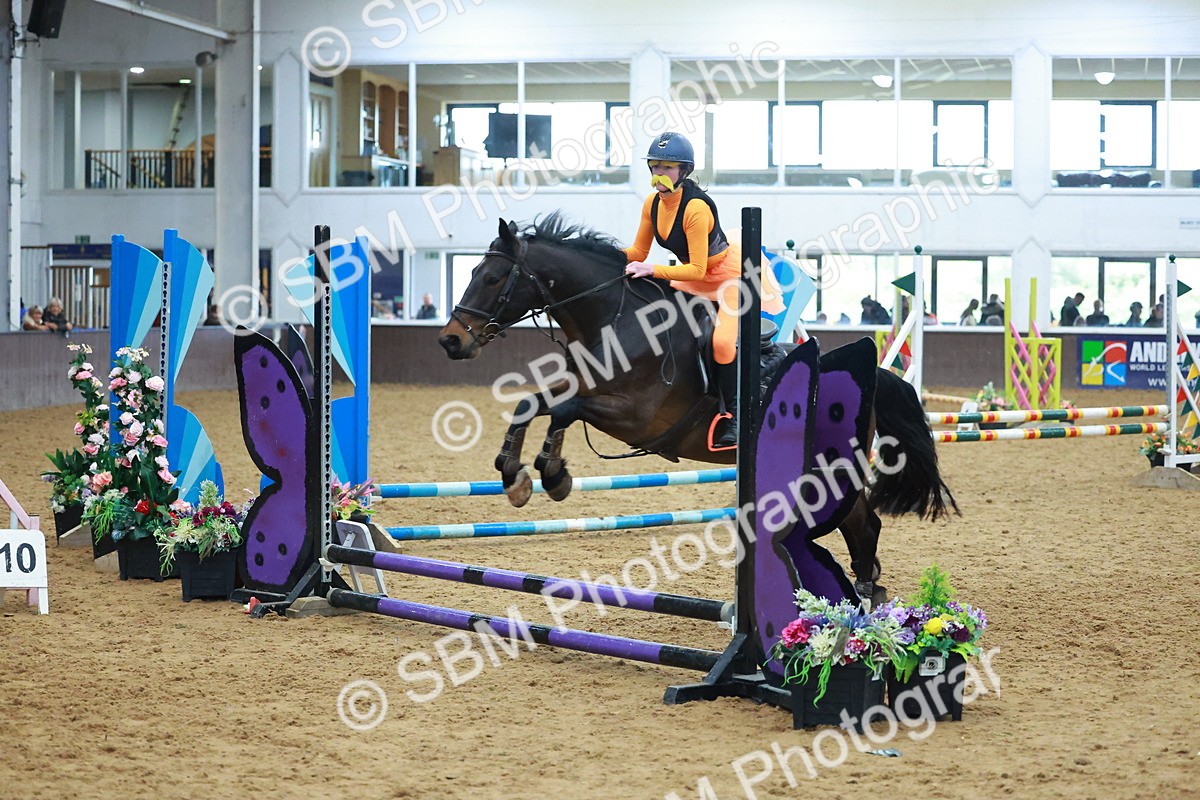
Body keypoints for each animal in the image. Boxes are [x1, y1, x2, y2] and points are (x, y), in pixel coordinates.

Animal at [438, 214, 958, 604]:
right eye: (471, 272)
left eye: (491, 277)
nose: (451, 340)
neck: (613, 319)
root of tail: (871, 378)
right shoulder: (582, 386)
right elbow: (535, 402)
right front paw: (521, 474)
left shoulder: (637, 417)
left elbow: (564, 410)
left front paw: (546, 472)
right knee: (862, 527)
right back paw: (864, 598)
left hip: (829, 472)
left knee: (863, 525)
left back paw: (862, 604)